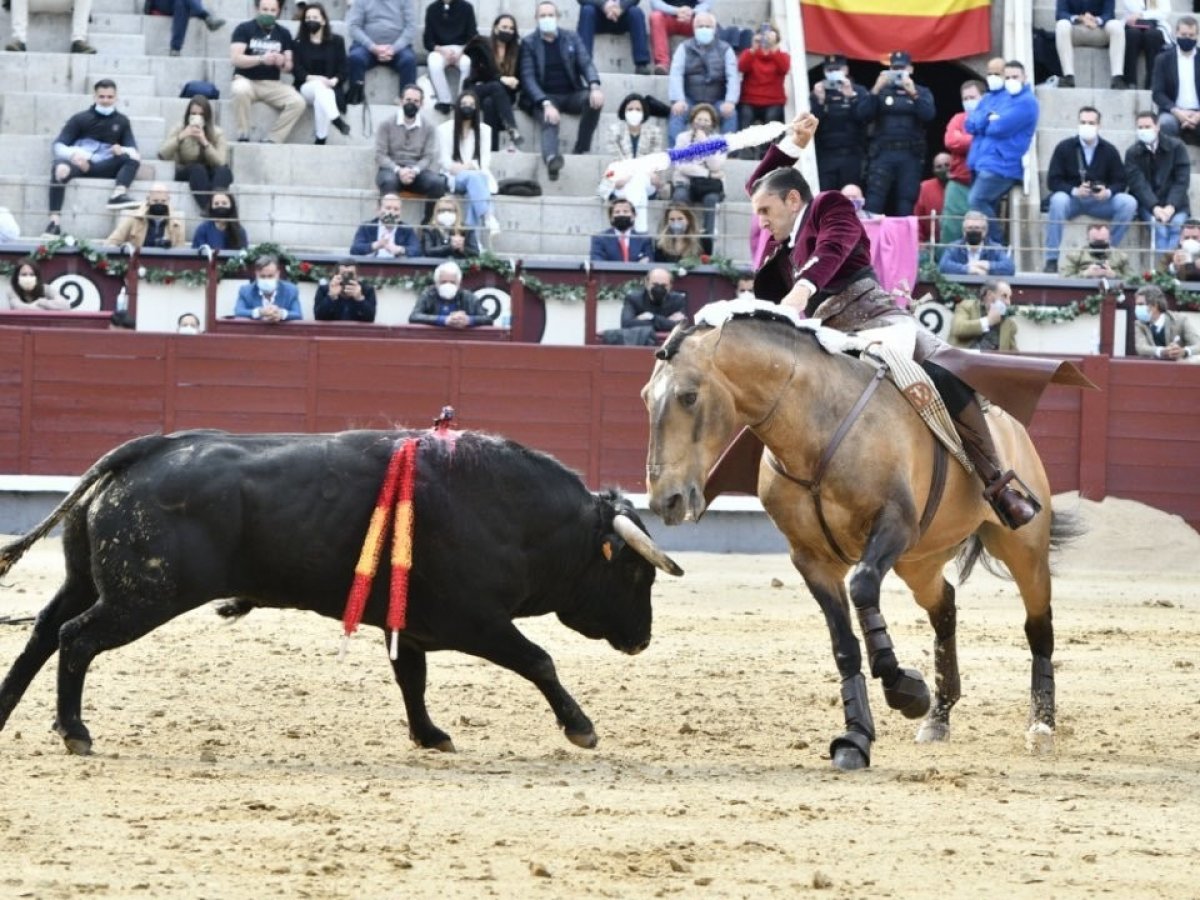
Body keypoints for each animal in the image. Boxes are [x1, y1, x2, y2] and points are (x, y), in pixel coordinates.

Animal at [0, 434, 681, 758]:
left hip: (89, 582)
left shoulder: (413, 623)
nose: (642, 639)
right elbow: (538, 660)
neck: (515, 515)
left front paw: (430, 736)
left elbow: (411, 679)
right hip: (142, 597)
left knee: (41, 634)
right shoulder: (476, 621)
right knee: (75, 639)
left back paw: (7, 714)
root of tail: (141, 453)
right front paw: (582, 729)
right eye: (635, 575)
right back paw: (75, 732)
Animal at [643, 314, 1084, 772]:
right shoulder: (811, 559)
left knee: (1038, 625)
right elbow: (843, 645)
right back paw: (939, 716)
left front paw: (904, 687)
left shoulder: (894, 525)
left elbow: (863, 585)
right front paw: (857, 737)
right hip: (919, 562)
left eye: (689, 396)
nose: (665, 500)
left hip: (1022, 547)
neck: (815, 432)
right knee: (944, 607)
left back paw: (1041, 726)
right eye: (645, 399)